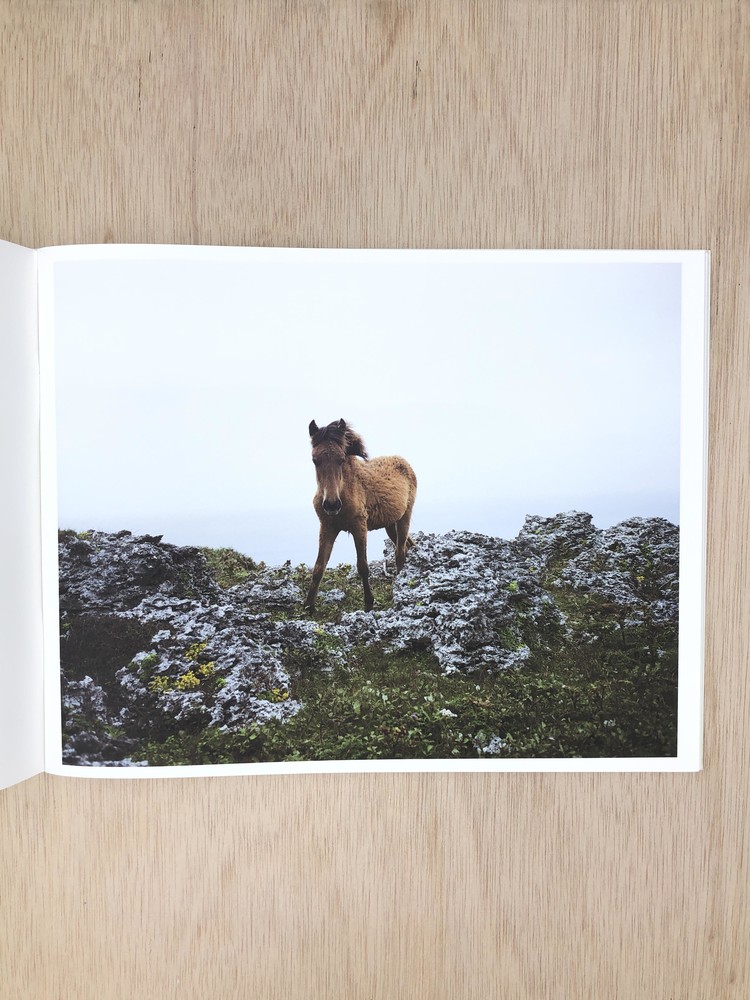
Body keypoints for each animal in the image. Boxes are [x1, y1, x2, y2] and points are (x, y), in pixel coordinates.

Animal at [304, 418, 417, 612]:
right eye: (314, 460)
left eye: (341, 459)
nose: (332, 505)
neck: (346, 488)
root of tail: (404, 462)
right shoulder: (327, 527)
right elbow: (319, 567)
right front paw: (309, 607)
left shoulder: (359, 527)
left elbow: (363, 566)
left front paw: (369, 603)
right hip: (390, 525)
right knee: (406, 546)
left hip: (404, 517)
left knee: (400, 551)